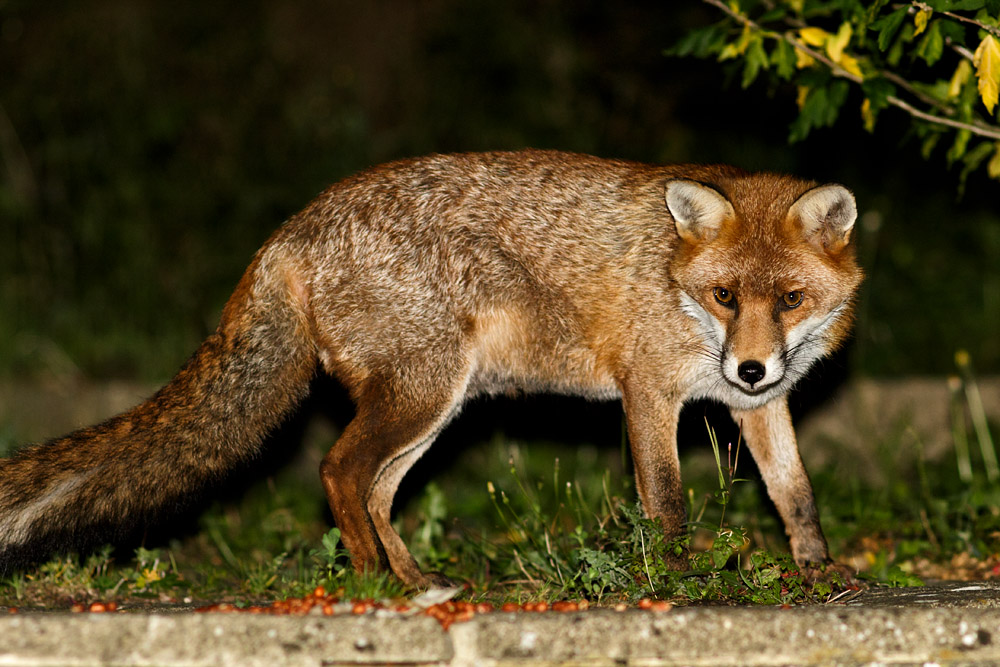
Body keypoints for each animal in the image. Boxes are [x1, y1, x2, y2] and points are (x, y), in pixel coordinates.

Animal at [0, 150, 862, 587]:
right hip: (421, 394)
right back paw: (372, 583)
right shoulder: (649, 391)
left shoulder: (758, 407)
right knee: (339, 469)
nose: (749, 365)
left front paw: (818, 574)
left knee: (376, 488)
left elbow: (796, 495)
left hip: (433, 405)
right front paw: (681, 582)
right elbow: (670, 505)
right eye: (725, 295)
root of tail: (291, 226)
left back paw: (413, 578)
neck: (672, 282)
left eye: (790, 298)